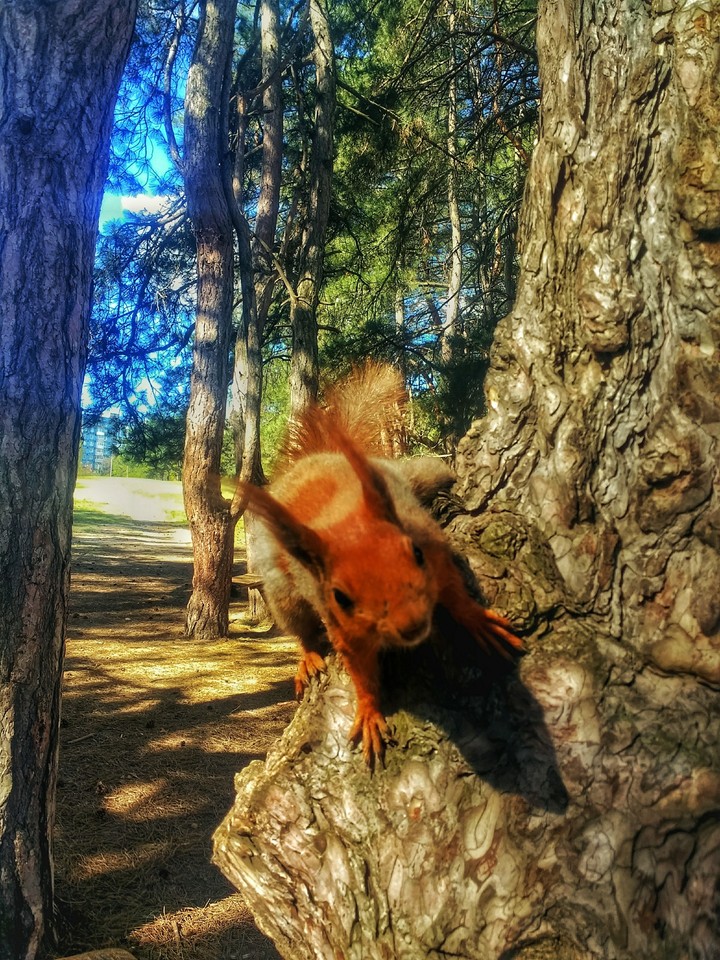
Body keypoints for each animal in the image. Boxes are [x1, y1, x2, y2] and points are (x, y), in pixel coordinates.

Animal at [240, 363, 523, 765]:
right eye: (340, 596)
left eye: (415, 554)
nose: (412, 625)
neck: (345, 517)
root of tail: (317, 459)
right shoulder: (342, 625)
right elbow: (359, 668)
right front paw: (369, 711)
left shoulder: (430, 542)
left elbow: (452, 587)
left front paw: (476, 619)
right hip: (281, 588)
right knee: (299, 627)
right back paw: (308, 656)